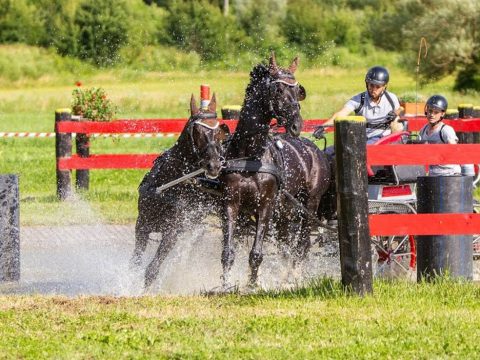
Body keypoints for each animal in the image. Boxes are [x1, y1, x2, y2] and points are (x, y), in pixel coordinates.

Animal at [130, 94, 230, 288]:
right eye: (197, 131)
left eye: (219, 132)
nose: (214, 165)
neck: (166, 186)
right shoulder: (142, 224)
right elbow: (135, 263)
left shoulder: (172, 232)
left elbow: (152, 269)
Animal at [219, 54, 332, 290]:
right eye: (278, 90)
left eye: (298, 89)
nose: (297, 124)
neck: (250, 157)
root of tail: (316, 150)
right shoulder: (231, 203)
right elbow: (228, 251)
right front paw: (225, 284)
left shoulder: (265, 205)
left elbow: (256, 253)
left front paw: (252, 284)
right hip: (284, 213)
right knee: (285, 246)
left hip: (309, 205)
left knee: (302, 244)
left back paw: (294, 276)